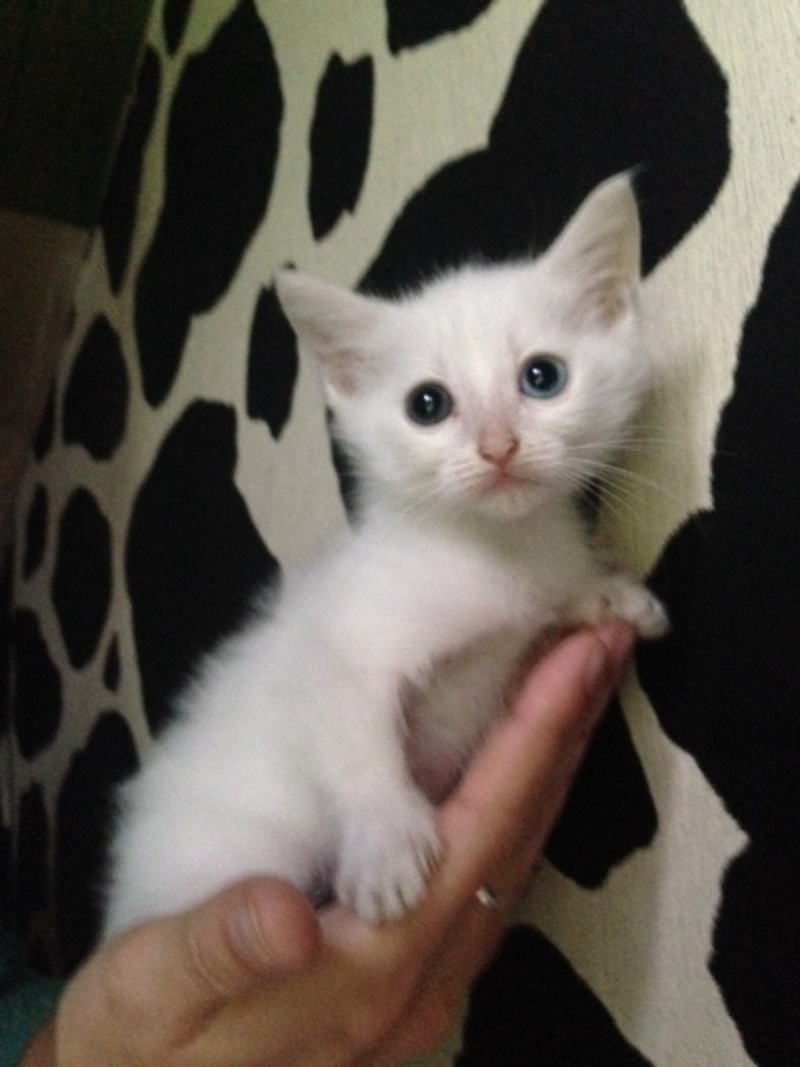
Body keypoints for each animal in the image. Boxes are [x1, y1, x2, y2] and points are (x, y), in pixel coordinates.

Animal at [102, 173, 667, 936]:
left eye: (543, 377)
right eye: (427, 404)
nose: (498, 447)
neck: (495, 551)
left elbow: (557, 599)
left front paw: (608, 593)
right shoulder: (340, 647)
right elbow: (355, 741)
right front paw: (386, 845)